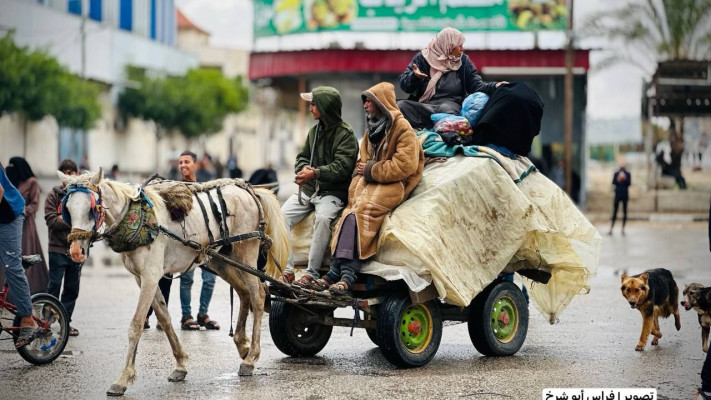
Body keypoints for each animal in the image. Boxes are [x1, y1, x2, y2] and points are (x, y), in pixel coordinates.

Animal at [59, 169, 290, 396]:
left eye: (91, 209)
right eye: (67, 209)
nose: (76, 251)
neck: (140, 219)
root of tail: (249, 190)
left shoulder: (150, 276)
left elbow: (136, 325)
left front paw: (123, 378)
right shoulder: (142, 278)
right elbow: (164, 318)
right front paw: (180, 364)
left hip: (246, 253)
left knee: (258, 297)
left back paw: (250, 359)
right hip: (223, 260)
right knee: (244, 293)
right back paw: (243, 345)